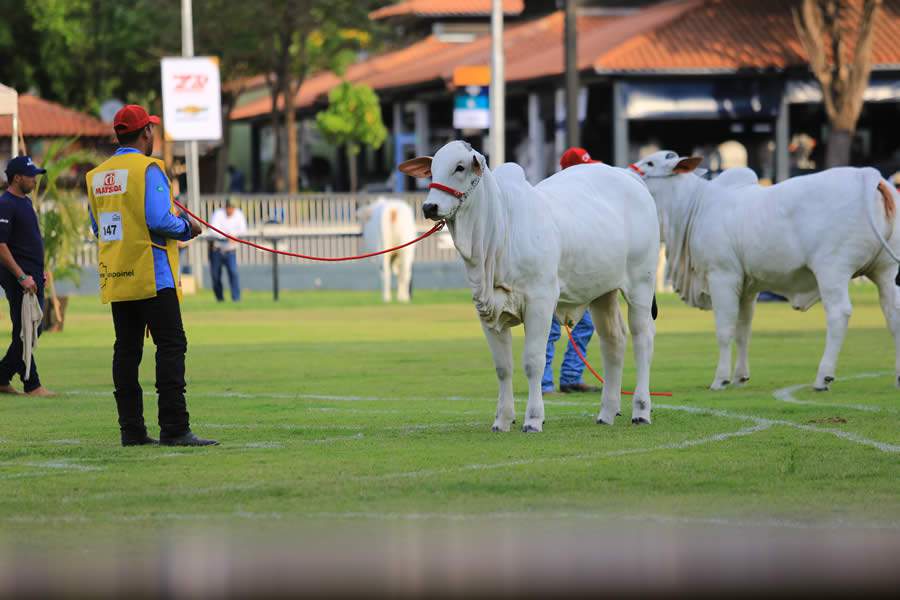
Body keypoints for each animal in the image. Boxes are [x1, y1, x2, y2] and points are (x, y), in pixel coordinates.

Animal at [402, 142, 660, 432]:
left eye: (459, 167)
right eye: (432, 169)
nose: (429, 206)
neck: (498, 231)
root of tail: (629, 176)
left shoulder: (540, 302)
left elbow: (533, 361)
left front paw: (533, 418)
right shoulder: (486, 309)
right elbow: (503, 367)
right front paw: (502, 420)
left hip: (640, 284)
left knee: (642, 339)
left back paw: (641, 410)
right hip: (602, 292)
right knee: (613, 341)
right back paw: (606, 412)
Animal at [632, 152, 900, 392]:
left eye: (650, 163)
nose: (629, 170)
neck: (696, 206)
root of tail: (868, 174)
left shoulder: (722, 276)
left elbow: (725, 330)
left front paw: (721, 379)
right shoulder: (748, 288)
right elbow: (743, 331)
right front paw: (740, 377)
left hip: (832, 269)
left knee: (839, 314)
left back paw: (822, 378)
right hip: (886, 270)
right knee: (893, 314)